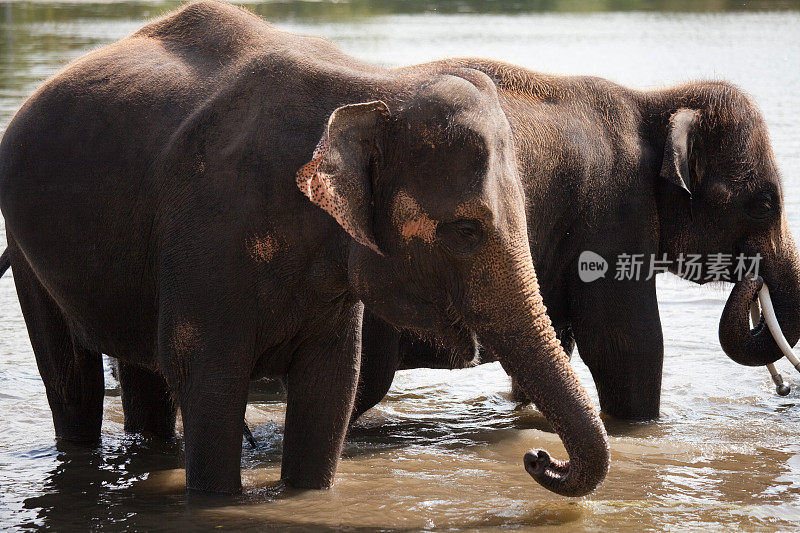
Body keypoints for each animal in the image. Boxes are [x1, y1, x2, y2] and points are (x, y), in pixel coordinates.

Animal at [0, 2, 608, 496]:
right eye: (464, 230)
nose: (537, 456)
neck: (374, 85)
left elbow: (331, 386)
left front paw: (306, 495)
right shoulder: (208, 232)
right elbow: (207, 381)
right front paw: (216, 500)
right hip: (26, 249)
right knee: (72, 383)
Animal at [354, 57, 800, 424]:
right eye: (764, 203)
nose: (784, 390)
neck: (655, 103)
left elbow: (555, 342)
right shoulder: (613, 214)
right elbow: (626, 344)